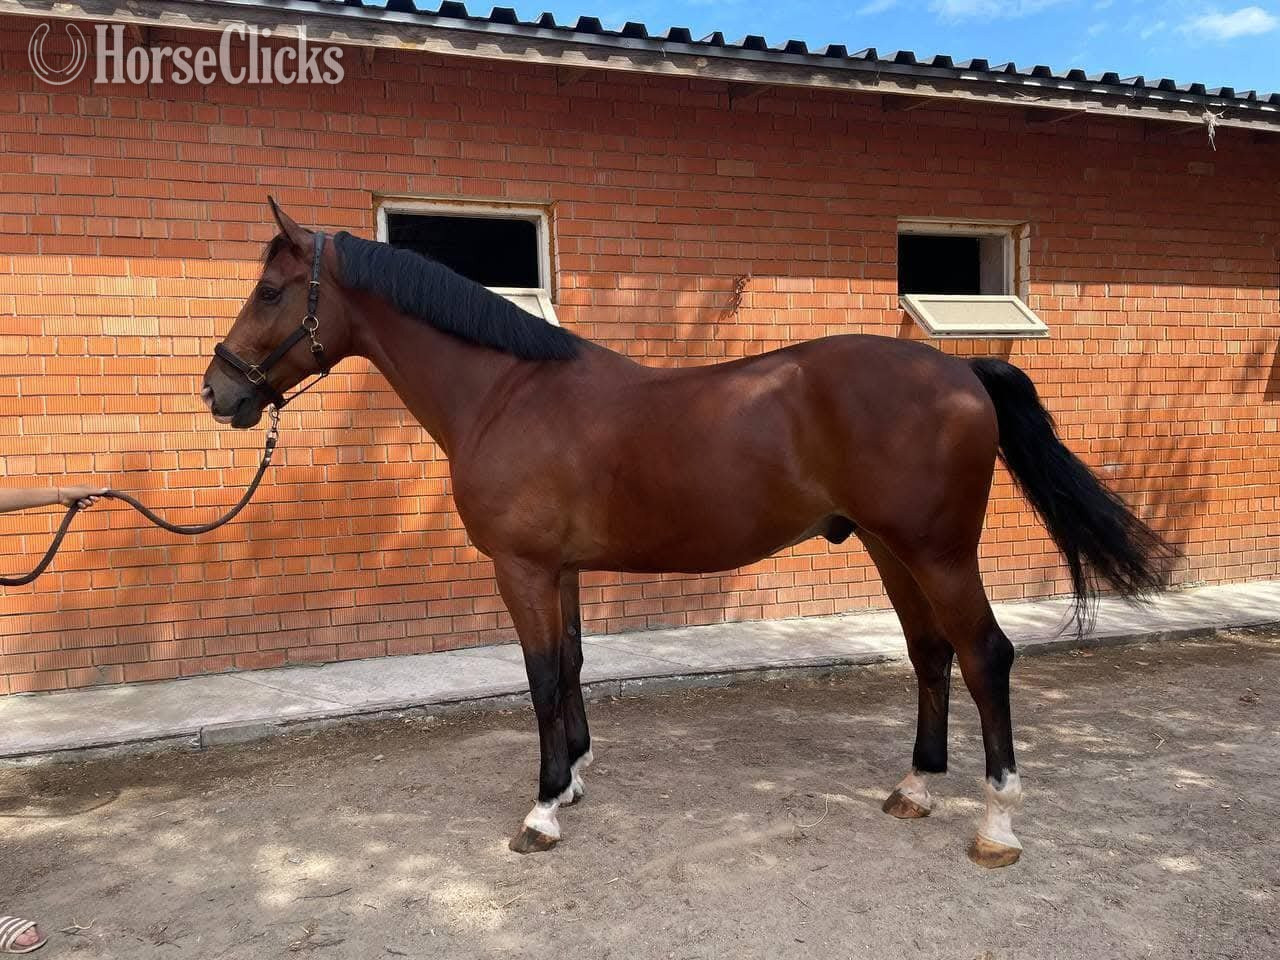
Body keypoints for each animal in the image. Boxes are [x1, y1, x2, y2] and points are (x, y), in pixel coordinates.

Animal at [201, 199, 1171, 869]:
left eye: (270, 290)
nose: (220, 390)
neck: (506, 394)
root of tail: (961, 368)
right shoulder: (560, 570)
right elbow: (571, 668)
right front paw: (574, 780)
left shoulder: (522, 569)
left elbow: (541, 678)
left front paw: (541, 811)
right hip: (892, 549)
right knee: (931, 657)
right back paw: (914, 789)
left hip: (938, 553)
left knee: (984, 657)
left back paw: (997, 824)